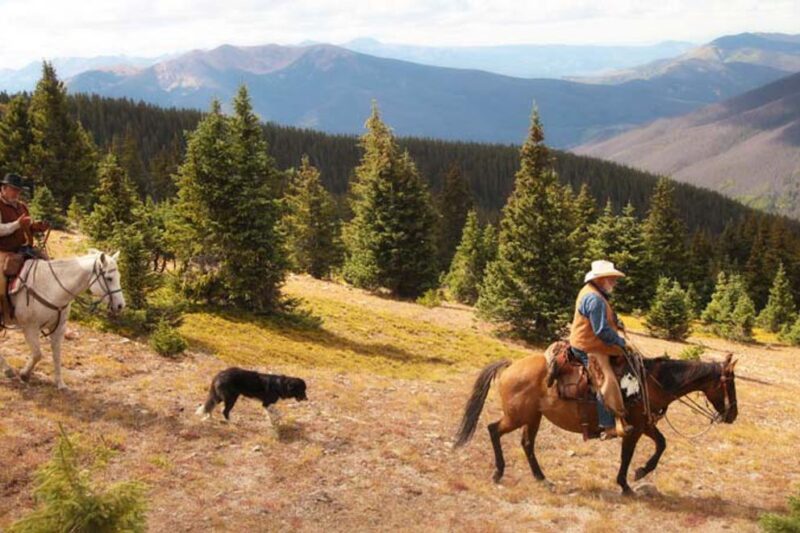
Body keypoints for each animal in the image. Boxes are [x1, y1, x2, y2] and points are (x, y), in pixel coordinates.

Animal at [0, 251, 124, 388]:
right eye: (109, 278)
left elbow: (57, 355)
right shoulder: (30, 327)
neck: (50, 287)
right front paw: (25, 374)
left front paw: (60, 383)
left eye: (118, 276)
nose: (120, 305)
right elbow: (38, 354)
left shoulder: (58, 328)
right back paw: (9, 371)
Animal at [454, 352, 740, 492]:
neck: (651, 383)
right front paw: (625, 484)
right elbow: (627, 456)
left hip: (533, 417)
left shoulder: (646, 425)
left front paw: (641, 471)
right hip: (517, 416)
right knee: (493, 430)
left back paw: (542, 479)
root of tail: (511, 365)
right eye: (729, 383)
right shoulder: (633, 429)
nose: (733, 415)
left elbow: (662, 444)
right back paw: (498, 472)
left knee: (526, 444)